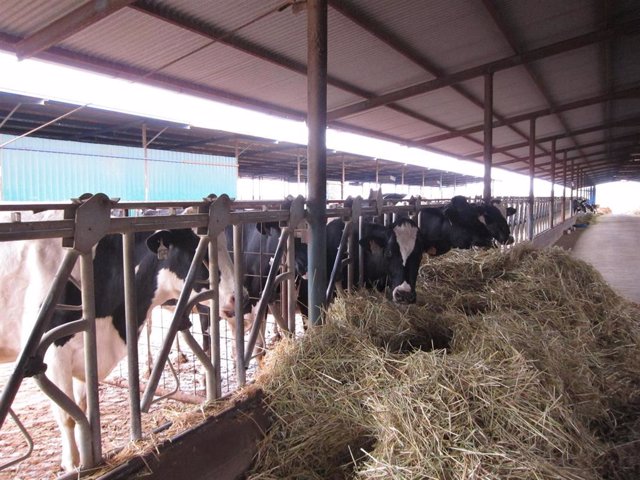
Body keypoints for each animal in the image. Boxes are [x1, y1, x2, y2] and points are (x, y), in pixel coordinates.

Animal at [0, 211, 239, 472]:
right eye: (200, 253)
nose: (239, 297)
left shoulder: (88, 351)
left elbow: (82, 408)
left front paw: (87, 457)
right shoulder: (52, 355)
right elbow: (67, 416)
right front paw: (73, 464)